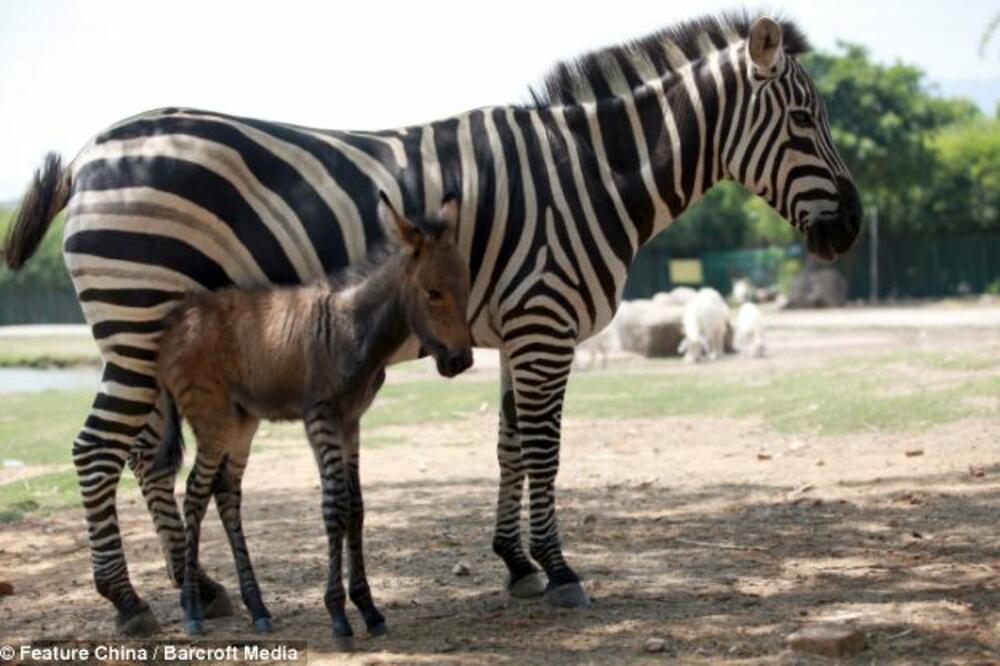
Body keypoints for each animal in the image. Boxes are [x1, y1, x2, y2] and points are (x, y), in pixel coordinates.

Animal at [3, 13, 861, 635]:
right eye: (803, 120)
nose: (851, 228)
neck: (586, 180)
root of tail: (90, 151)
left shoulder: (519, 331)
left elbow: (510, 445)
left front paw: (515, 563)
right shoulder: (545, 321)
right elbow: (545, 451)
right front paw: (560, 570)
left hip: (155, 340)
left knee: (143, 458)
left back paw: (203, 589)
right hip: (136, 323)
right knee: (95, 452)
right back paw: (128, 602)